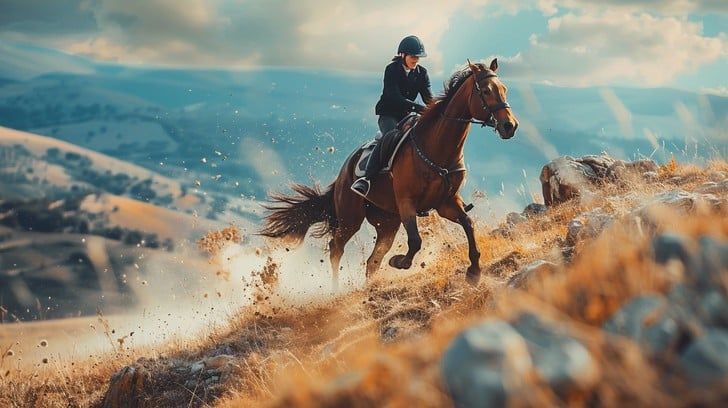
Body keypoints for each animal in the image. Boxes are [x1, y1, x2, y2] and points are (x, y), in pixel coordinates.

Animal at [260, 58, 519, 289]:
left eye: (504, 89)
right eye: (485, 91)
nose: (510, 126)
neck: (437, 149)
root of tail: (342, 173)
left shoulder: (446, 202)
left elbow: (468, 225)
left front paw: (474, 271)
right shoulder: (407, 202)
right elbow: (415, 241)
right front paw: (400, 261)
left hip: (387, 222)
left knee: (372, 261)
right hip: (350, 217)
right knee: (336, 248)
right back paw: (335, 290)